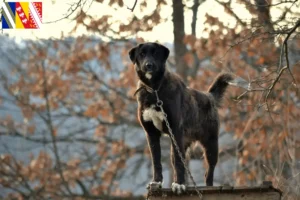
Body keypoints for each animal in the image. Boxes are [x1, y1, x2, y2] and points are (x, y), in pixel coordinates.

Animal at [127, 42, 233, 194]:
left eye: (155, 53)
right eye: (142, 54)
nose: (149, 65)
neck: (155, 91)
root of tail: (209, 97)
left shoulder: (175, 130)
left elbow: (178, 163)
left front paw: (179, 184)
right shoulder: (151, 133)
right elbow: (156, 161)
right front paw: (157, 182)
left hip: (210, 144)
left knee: (208, 171)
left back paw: (208, 186)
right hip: (182, 144)